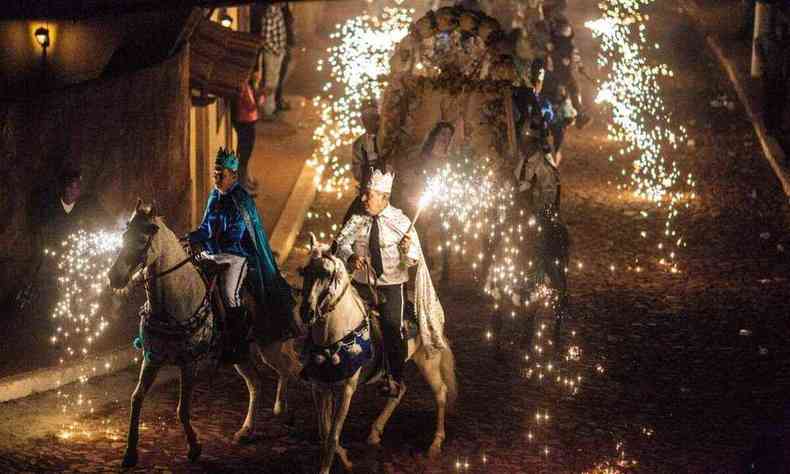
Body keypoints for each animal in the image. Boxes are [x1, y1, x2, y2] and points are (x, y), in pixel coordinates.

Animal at [108, 200, 300, 466]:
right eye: (125, 235)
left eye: (142, 239)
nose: (114, 277)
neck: (177, 300)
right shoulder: (152, 357)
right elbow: (136, 398)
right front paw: (130, 453)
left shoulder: (189, 362)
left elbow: (182, 409)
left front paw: (194, 447)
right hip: (239, 353)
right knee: (256, 383)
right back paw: (246, 430)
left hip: (270, 344)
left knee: (289, 369)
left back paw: (285, 410)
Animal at [300, 234, 458, 474]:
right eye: (305, 271)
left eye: (327, 273)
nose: (306, 312)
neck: (334, 333)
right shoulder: (320, 387)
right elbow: (324, 433)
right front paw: (344, 459)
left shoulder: (347, 389)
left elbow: (333, 435)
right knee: (400, 389)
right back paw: (375, 432)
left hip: (428, 362)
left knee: (440, 392)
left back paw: (435, 443)